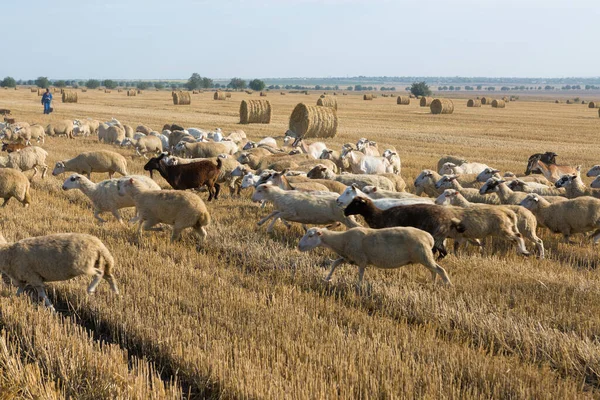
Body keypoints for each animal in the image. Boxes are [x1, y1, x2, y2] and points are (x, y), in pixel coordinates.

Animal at [298, 227, 452, 286]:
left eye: (310, 236)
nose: (299, 247)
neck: (341, 240)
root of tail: (429, 237)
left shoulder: (361, 259)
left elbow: (360, 274)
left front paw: (359, 286)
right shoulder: (349, 258)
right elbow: (335, 263)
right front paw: (327, 278)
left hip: (423, 255)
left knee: (441, 270)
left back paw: (448, 285)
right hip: (424, 257)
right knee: (433, 270)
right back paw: (432, 284)